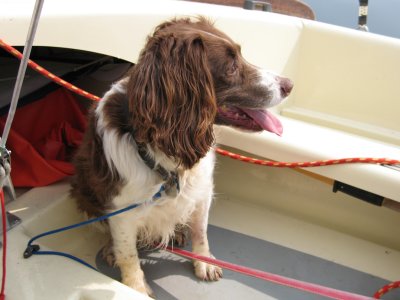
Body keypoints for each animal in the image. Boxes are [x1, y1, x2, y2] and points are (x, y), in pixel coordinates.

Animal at [71, 16, 290, 296]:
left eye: (241, 55)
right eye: (231, 66)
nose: (289, 85)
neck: (163, 149)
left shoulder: (202, 190)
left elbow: (201, 231)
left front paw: (203, 262)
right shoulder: (121, 209)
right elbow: (128, 254)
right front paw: (136, 288)